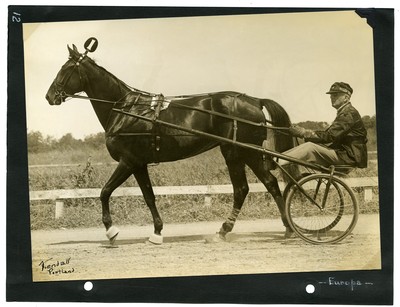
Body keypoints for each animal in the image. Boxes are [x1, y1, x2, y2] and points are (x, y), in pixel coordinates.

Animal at [45, 42, 298, 245]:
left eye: (65, 69)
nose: (49, 96)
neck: (127, 110)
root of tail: (254, 100)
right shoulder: (139, 164)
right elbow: (148, 196)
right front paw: (157, 232)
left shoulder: (128, 161)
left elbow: (105, 192)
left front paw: (111, 231)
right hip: (242, 153)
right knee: (264, 184)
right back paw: (284, 228)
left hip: (238, 152)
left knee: (248, 188)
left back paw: (229, 230)